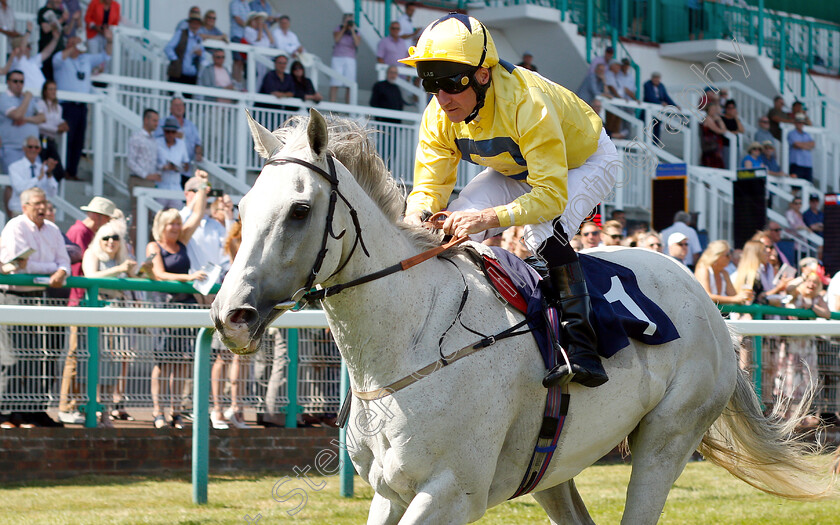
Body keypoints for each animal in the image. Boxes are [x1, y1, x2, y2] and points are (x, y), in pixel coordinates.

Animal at [213, 108, 836, 520]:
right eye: (242, 206)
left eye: (299, 209)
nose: (230, 316)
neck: (412, 341)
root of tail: (705, 301)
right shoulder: (390, 492)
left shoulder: (451, 490)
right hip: (552, 463)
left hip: (668, 437)